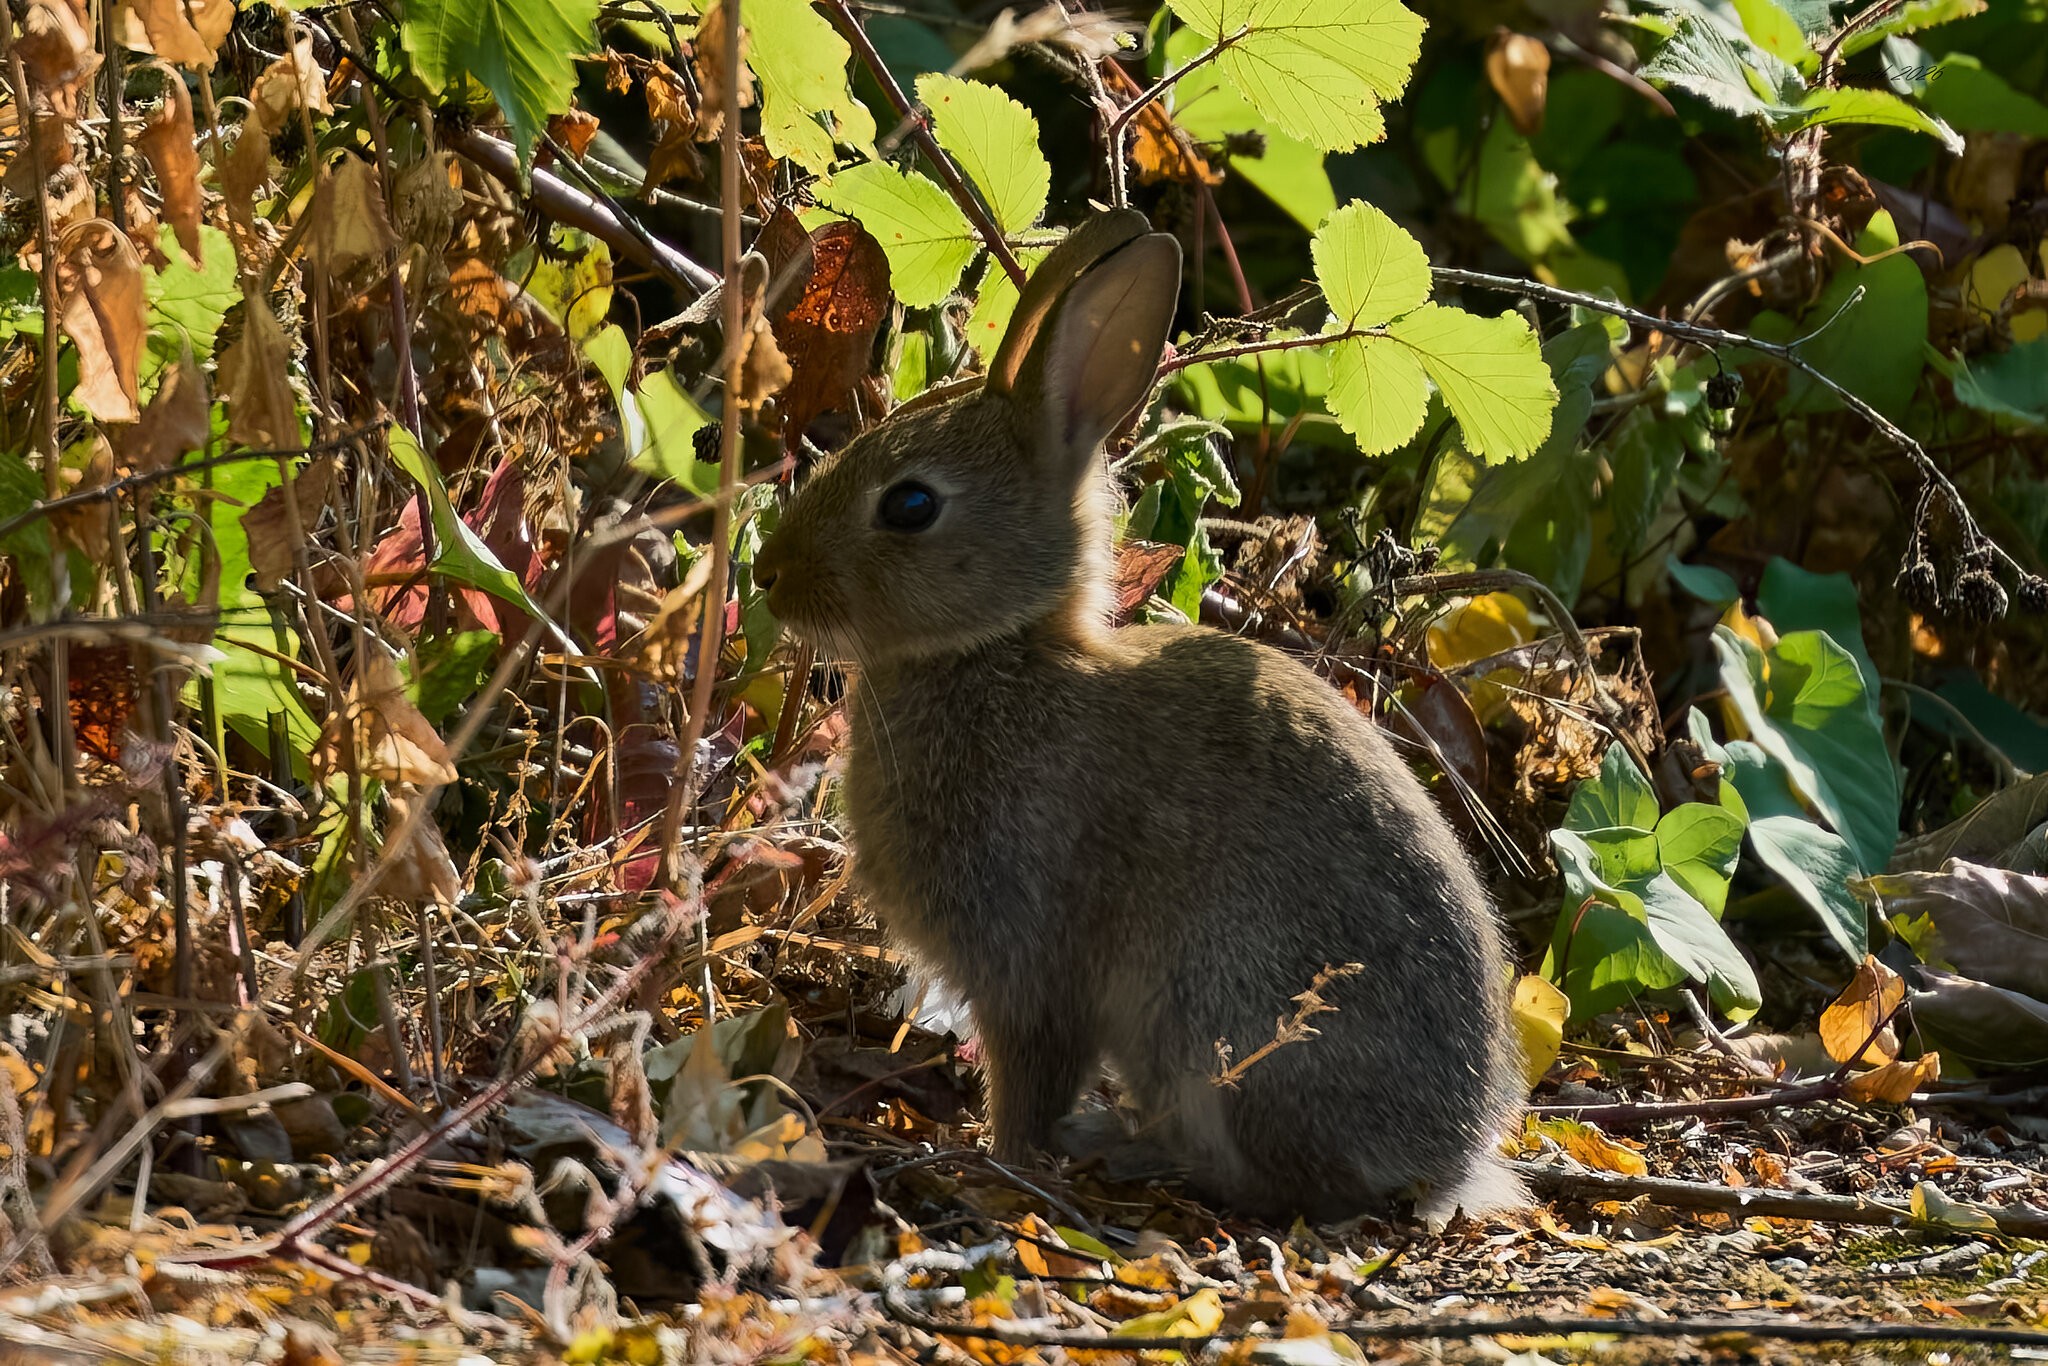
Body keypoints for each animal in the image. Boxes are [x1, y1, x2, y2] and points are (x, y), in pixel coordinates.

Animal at [751, 209, 1526, 1223]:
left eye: (910, 504)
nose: (768, 574)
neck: (999, 650)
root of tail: (1455, 1154)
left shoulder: (1028, 958)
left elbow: (1032, 1076)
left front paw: (995, 1158)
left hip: (1217, 1022)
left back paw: (1123, 1149)